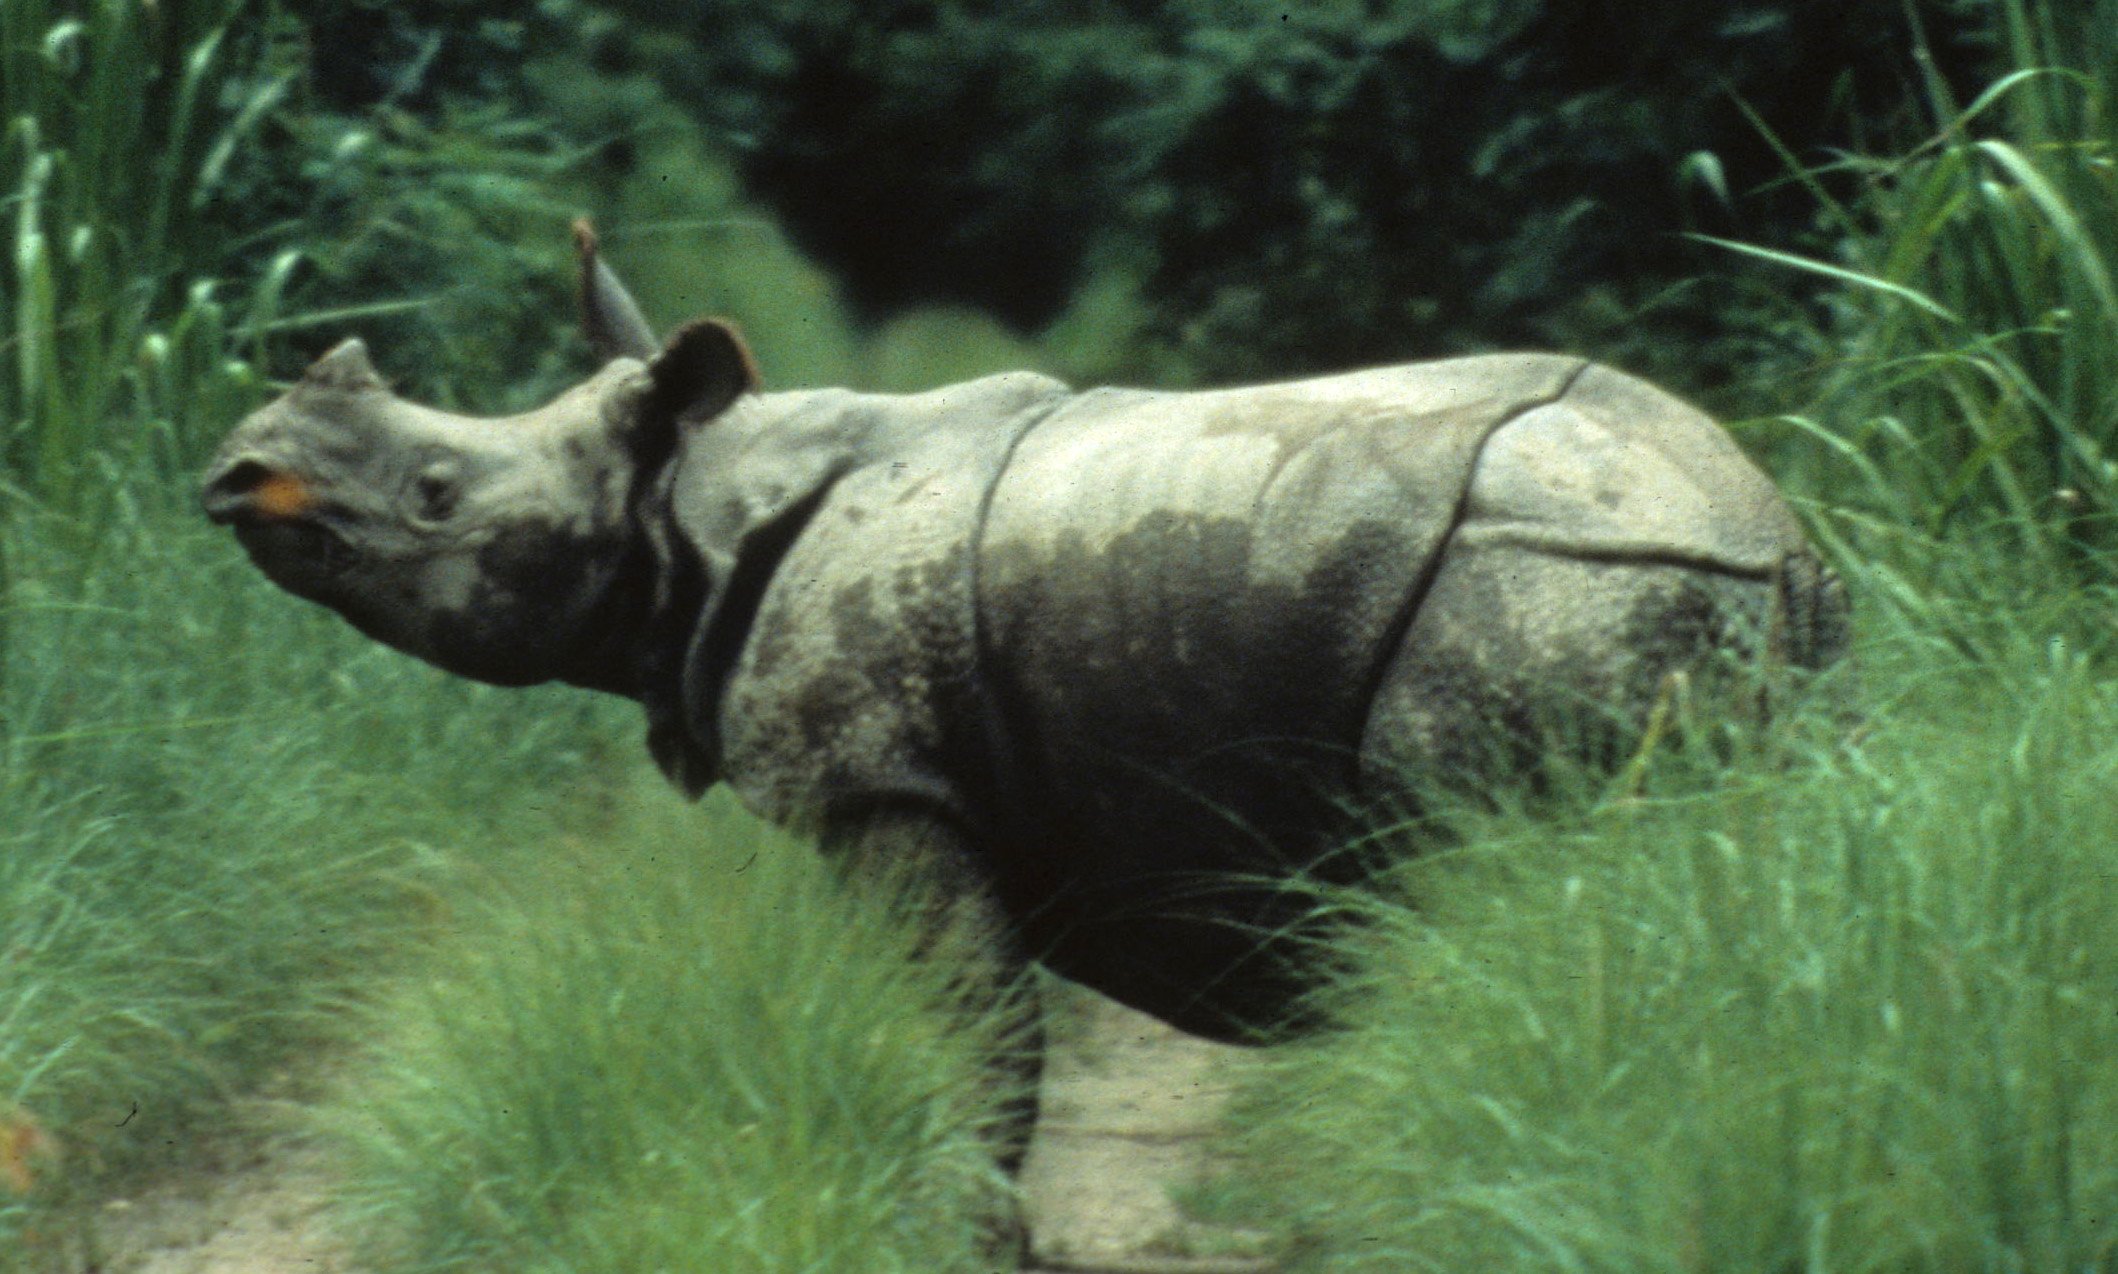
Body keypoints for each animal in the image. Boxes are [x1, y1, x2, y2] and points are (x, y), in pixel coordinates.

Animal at [203, 222, 1846, 1167]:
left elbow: (974, 1053)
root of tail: (1762, 529)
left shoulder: (880, 782)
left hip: (1538, 581)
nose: (237, 469)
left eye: (436, 492)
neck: (688, 498)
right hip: (1720, 606)